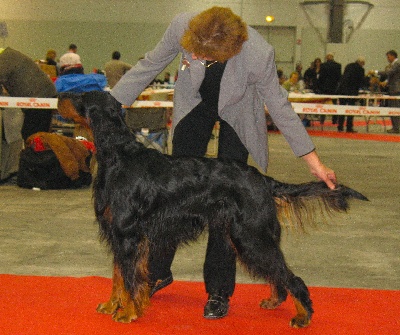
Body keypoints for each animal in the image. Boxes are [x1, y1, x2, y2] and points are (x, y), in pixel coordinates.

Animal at [57, 91, 368, 328]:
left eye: (81, 97)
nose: (59, 95)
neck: (118, 157)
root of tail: (262, 179)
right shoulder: (118, 234)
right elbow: (118, 276)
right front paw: (112, 305)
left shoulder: (127, 234)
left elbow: (129, 278)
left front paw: (129, 313)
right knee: (278, 273)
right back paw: (274, 300)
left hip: (250, 235)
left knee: (292, 276)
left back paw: (303, 316)